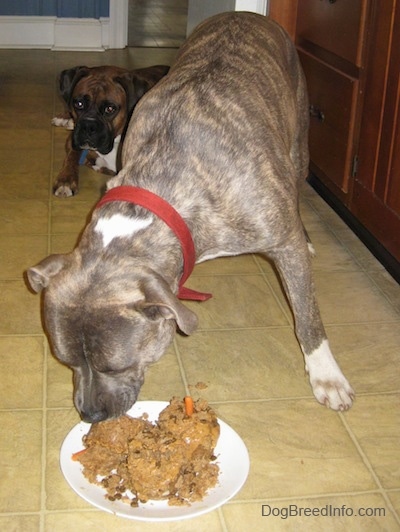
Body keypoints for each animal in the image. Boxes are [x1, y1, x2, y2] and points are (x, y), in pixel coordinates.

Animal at [52, 65, 169, 197]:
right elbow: (71, 156)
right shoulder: (73, 140)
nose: (88, 126)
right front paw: (65, 181)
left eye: (110, 109)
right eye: (79, 104)